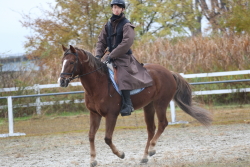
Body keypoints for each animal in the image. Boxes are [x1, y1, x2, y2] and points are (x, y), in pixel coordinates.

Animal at [58, 45, 213, 166]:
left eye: (71, 62)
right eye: (62, 62)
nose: (62, 81)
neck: (98, 84)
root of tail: (168, 72)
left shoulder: (111, 115)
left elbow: (107, 138)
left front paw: (120, 154)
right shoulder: (94, 114)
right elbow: (91, 136)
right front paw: (93, 160)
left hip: (160, 103)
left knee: (163, 124)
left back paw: (152, 149)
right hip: (149, 106)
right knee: (151, 129)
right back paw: (144, 156)